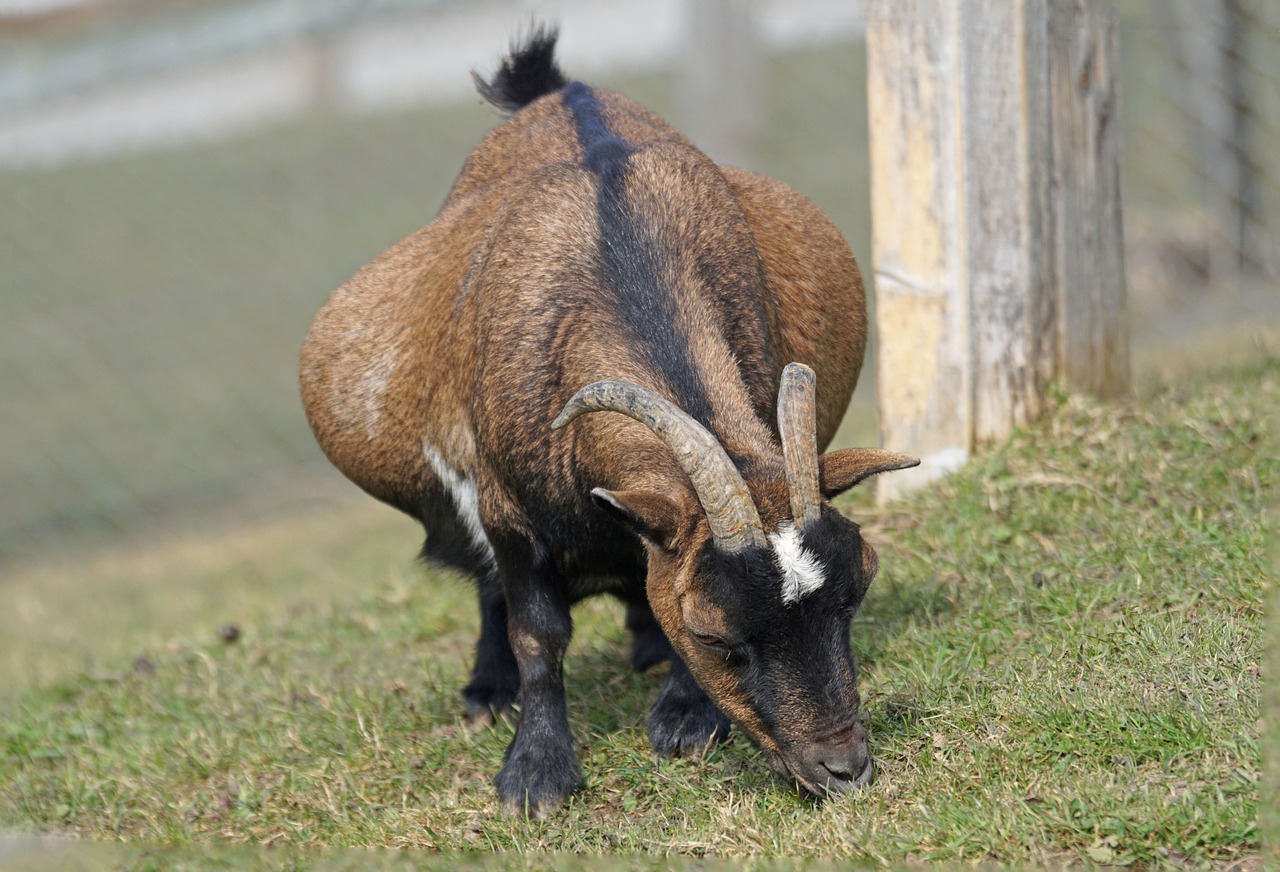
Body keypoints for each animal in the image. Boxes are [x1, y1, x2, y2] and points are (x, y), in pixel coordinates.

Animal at [299, 28, 921, 814]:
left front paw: (685, 717)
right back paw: (487, 688)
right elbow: (538, 632)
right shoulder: (506, 509)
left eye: (852, 600)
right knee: (490, 587)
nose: (843, 769)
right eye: (718, 638)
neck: (619, 254)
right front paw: (536, 772)